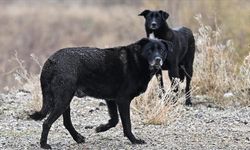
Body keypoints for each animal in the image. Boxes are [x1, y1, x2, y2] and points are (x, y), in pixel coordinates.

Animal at [29, 37, 172, 149]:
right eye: (150, 50)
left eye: (162, 50)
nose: (158, 59)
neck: (138, 61)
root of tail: (51, 60)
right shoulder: (123, 100)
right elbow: (127, 124)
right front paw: (134, 140)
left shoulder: (111, 99)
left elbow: (114, 120)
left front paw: (101, 128)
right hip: (63, 99)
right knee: (47, 123)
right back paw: (44, 144)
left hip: (65, 100)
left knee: (66, 122)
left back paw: (78, 138)